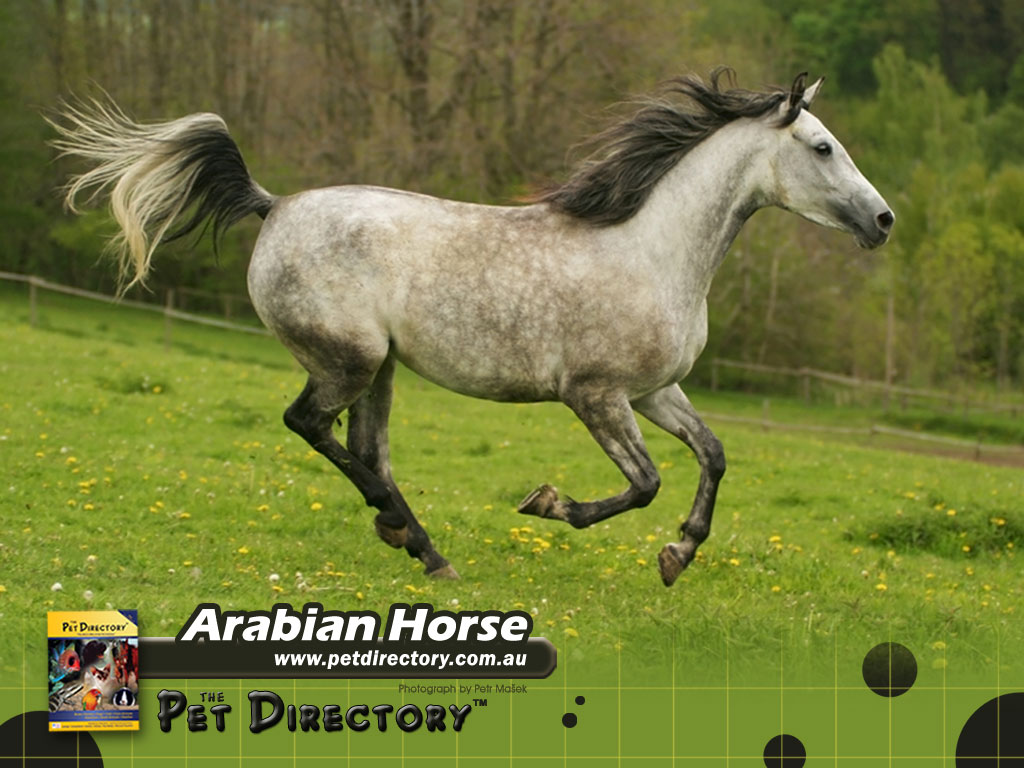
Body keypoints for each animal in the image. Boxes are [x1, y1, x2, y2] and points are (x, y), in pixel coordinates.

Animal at [49, 70, 892, 587]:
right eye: (822, 146)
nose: (883, 220)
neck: (650, 250)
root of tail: (274, 205)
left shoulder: (656, 392)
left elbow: (713, 456)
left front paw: (677, 554)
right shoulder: (595, 395)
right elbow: (644, 484)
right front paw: (548, 505)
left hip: (382, 368)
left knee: (366, 449)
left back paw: (421, 547)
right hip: (349, 360)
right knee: (310, 427)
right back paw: (403, 531)